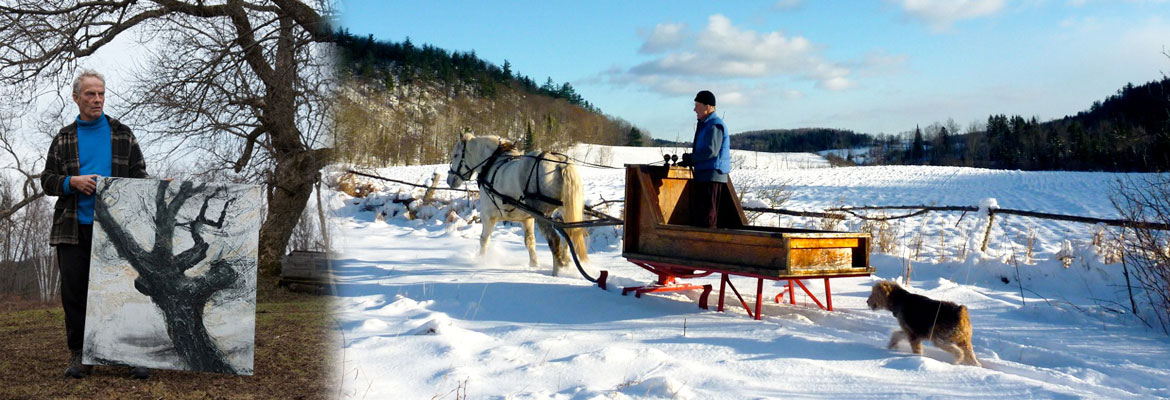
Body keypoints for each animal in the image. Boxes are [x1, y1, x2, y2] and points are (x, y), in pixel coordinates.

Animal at [449, 132, 594, 274]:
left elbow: (484, 239)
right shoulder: (527, 219)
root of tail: (560, 164)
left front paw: (481, 261)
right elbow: (530, 242)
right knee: (569, 235)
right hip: (564, 210)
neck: (492, 163)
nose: (450, 179)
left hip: (543, 215)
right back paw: (566, 264)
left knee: (555, 240)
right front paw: (534, 264)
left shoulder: (488, 215)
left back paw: (558, 271)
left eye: (455, 155)